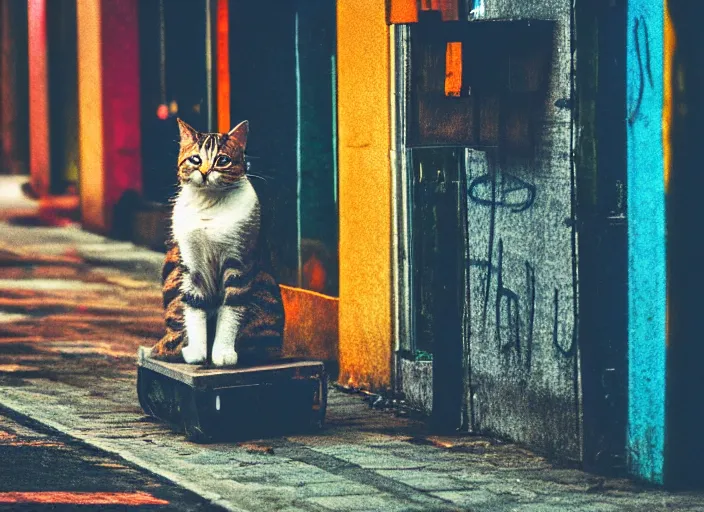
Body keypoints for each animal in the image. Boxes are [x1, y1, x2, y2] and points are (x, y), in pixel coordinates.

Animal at [150, 118, 284, 366]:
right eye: (195, 159)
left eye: (222, 160)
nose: (204, 172)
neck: (209, 203)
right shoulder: (192, 266)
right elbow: (193, 306)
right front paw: (197, 352)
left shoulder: (238, 263)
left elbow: (231, 310)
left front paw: (223, 353)